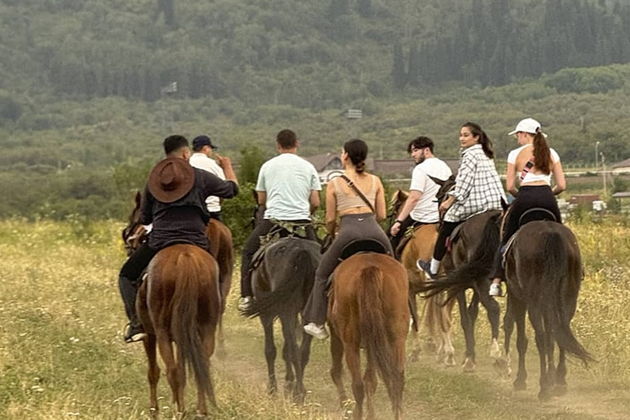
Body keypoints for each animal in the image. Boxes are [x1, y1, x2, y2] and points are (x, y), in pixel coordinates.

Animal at [137, 244, 221, 416]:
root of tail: (185, 256)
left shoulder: (150, 335)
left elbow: (153, 371)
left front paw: (154, 410)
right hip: (206, 328)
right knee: (200, 368)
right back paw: (201, 411)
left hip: (162, 333)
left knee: (172, 371)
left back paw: (179, 411)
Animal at [328, 253, 412, 420]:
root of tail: (370, 267)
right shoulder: (373, 345)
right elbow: (371, 380)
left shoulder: (336, 336)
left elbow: (338, 371)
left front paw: (346, 407)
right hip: (396, 339)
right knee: (397, 380)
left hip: (350, 343)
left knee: (357, 385)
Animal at [388, 189, 456, 364]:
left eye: (396, 209)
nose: (393, 228)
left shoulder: (410, 290)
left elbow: (416, 319)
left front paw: (416, 351)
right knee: (444, 313)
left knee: (441, 314)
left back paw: (447, 352)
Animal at [502, 220, 596, 400]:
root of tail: (553, 234)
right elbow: (551, 337)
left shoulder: (518, 299)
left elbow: (522, 338)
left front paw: (521, 379)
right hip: (567, 299)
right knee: (562, 331)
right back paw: (560, 382)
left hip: (534, 302)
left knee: (540, 337)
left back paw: (544, 386)